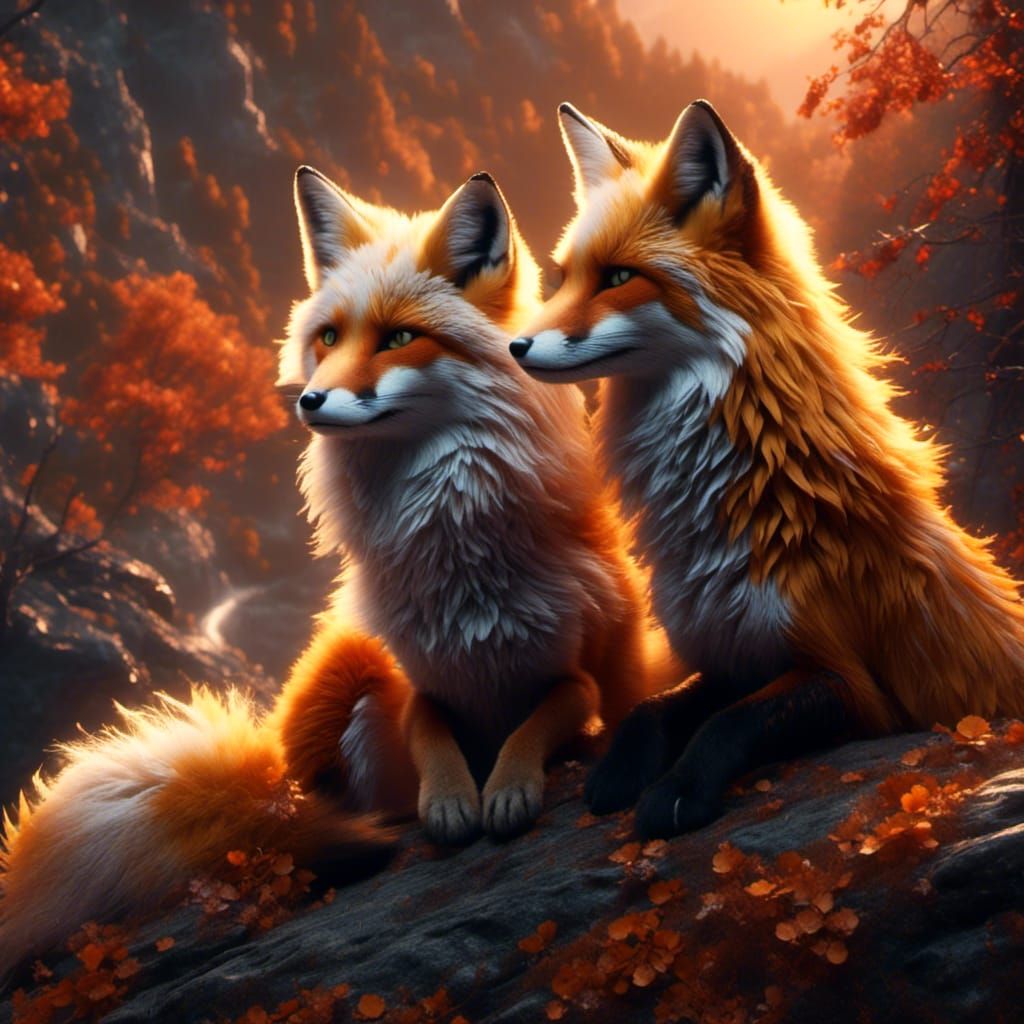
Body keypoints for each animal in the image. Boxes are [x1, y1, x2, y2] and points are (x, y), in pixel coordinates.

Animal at [274, 166, 677, 847]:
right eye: (328, 338)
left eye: (400, 337)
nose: (311, 401)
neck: (459, 559)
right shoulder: (422, 682)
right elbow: (427, 729)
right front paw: (449, 797)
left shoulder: (573, 676)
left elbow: (540, 721)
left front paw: (508, 788)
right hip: (341, 675)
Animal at [510, 99, 1024, 838]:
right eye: (563, 278)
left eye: (618, 278)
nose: (514, 346)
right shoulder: (731, 651)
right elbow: (657, 707)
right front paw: (620, 771)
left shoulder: (854, 684)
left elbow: (731, 723)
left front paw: (675, 792)